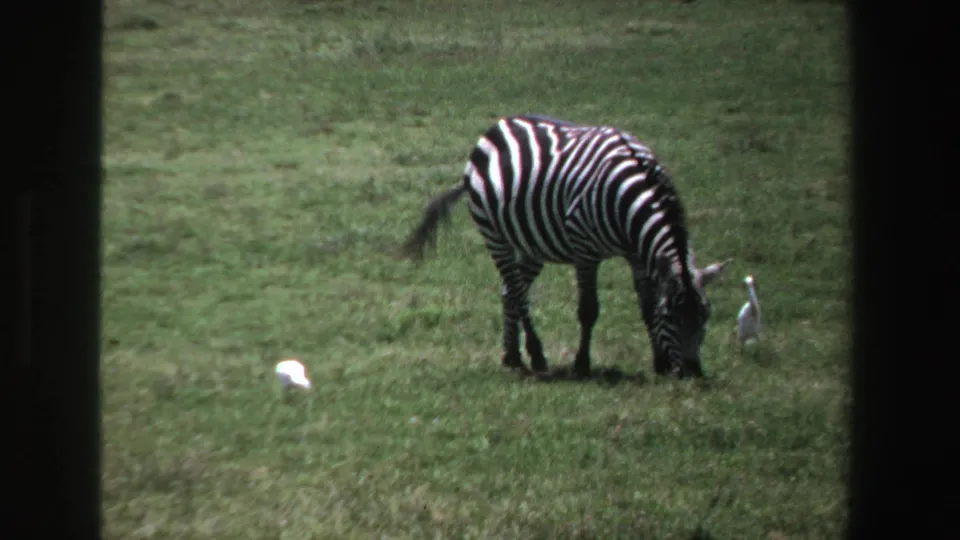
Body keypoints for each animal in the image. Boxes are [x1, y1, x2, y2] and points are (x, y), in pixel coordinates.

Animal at [401, 115, 732, 379]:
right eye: (672, 317)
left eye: (706, 315)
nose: (691, 373)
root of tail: (497, 127)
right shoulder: (585, 250)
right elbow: (588, 310)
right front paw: (581, 364)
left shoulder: (637, 255)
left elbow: (646, 305)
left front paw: (659, 363)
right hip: (494, 235)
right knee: (518, 293)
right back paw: (536, 355)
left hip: (532, 242)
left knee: (509, 290)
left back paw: (512, 356)